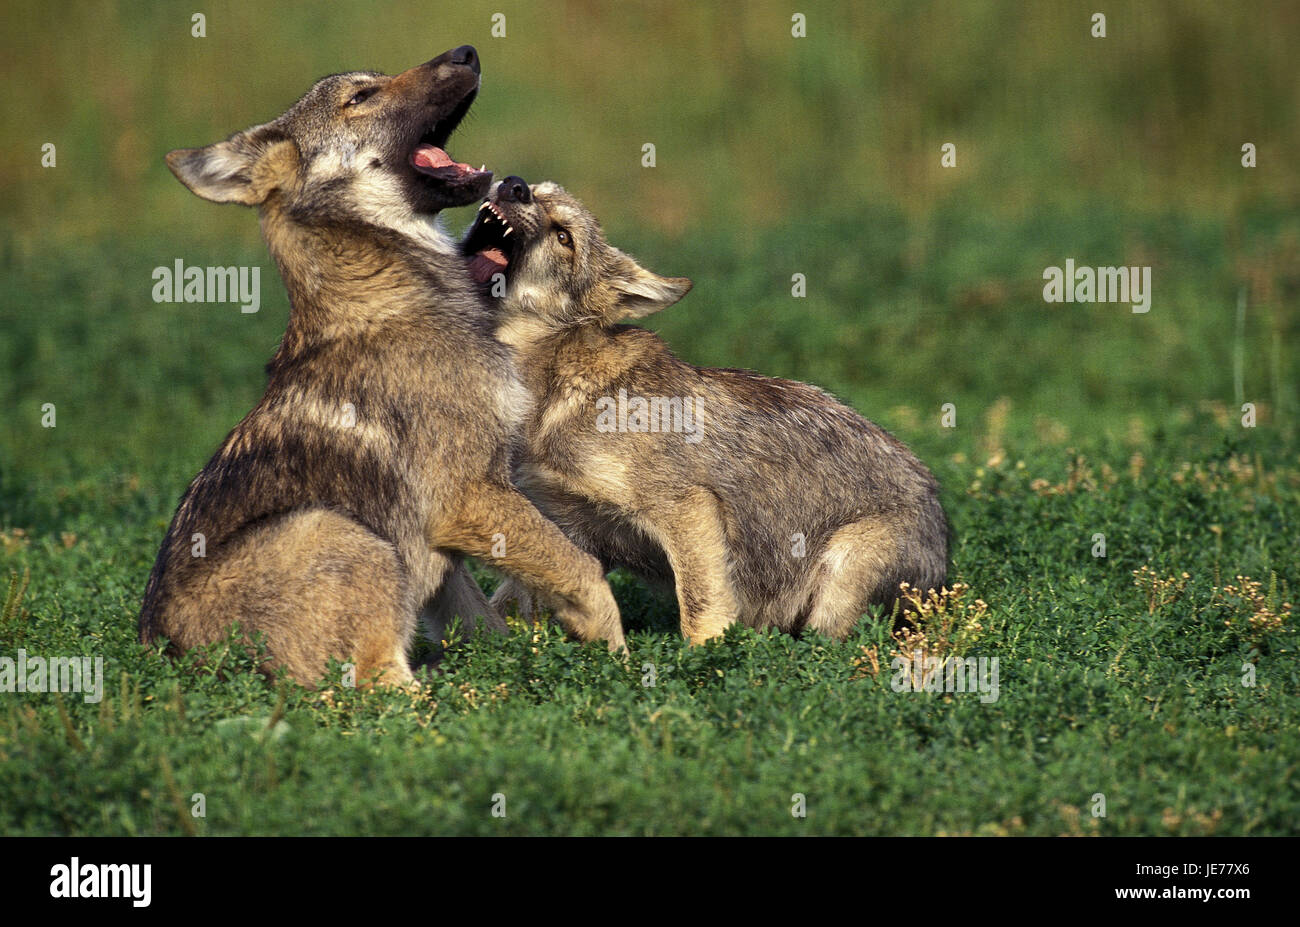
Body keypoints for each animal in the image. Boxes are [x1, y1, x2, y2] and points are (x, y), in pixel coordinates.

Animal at [139, 52, 626, 686]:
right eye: (361, 97)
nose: (468, 51)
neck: (397, 294)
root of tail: (168, 658)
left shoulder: (446, 550)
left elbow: (490, 623)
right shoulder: (468, 495)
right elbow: (585, 569)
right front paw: (616, 656)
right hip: (347, 534)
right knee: (385, 690)